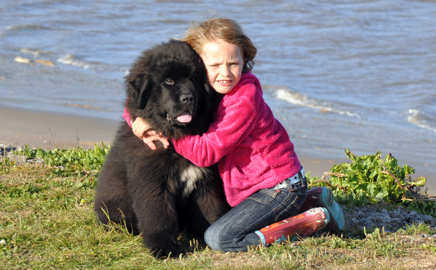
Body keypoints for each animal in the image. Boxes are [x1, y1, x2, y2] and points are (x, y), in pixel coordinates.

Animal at [95, 39, 230, 258]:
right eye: (168, 82)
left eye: (193, 78)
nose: (188, 98)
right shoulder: (152, 182)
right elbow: (158, 215)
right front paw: (165, 248)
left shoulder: (205, 179)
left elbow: (210, 208)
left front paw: (208, 235)